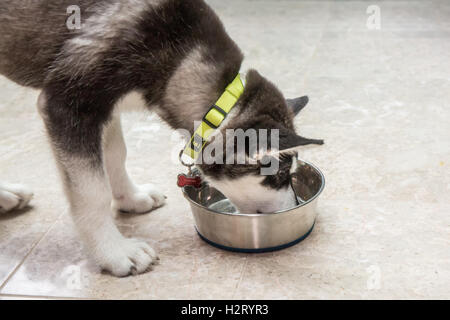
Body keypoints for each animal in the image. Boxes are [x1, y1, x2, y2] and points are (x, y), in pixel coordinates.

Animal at [0, 0, 324, 276]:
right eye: (278, 175)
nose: (297, 204)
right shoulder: (70, 103)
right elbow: (93, 191)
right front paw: (114, 252)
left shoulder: (106, 108)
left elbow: (116, 154)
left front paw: (130, 198)